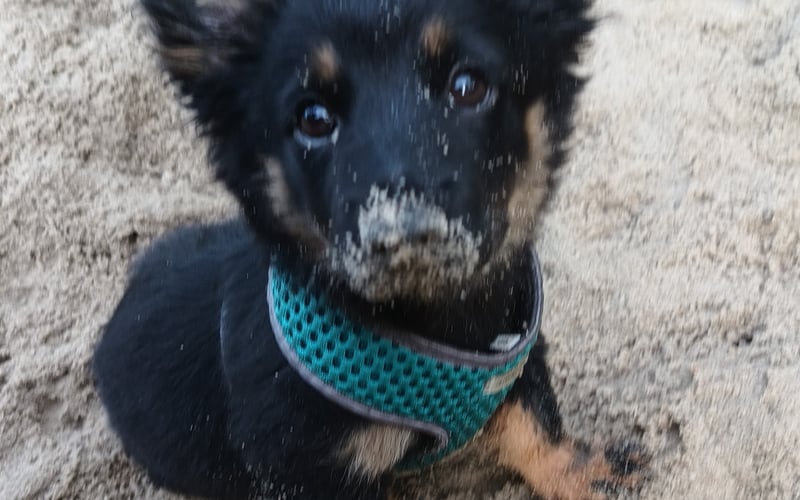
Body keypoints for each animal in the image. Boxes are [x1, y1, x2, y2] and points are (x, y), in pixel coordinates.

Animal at [93, 1, 647, 499]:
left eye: (468, 86)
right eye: (313, 118)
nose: (405, 233)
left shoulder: (517, 351)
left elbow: (534, 417)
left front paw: (578, 472)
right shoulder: (308, 468)